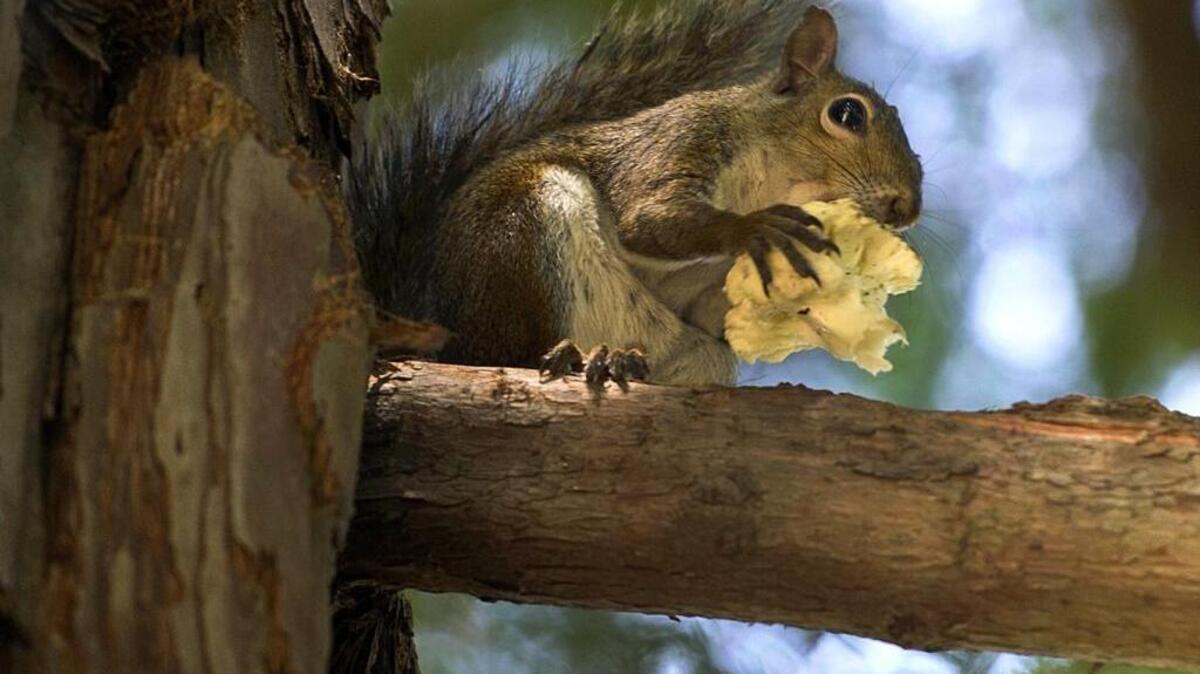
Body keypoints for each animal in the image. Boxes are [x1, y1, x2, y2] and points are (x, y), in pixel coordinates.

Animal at [349, 0, 923, 387]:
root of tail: (453, 336)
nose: (907, 208)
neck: (768, 178)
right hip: (525, 236)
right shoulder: (676, 144)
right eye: (846, 114)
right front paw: (756, 228)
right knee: (510, 351)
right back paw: (569, 356)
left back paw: (619, 360)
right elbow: (647, 219)